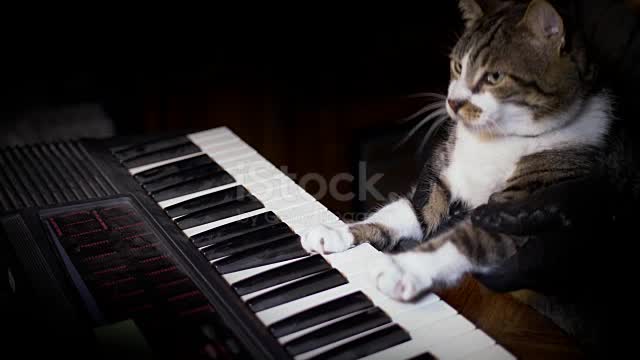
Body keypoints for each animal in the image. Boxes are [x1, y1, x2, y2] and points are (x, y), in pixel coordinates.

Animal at [300, 0, 616, 306]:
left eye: (495, 77)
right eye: (457, 66)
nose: (453, 101)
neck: (493, 140)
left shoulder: (519, 206)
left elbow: (465, 240)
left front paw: (404, 268)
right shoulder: (435, 188)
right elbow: (399, 215)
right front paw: (336, 232)